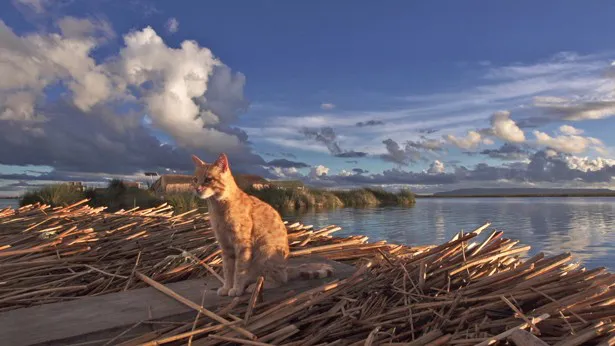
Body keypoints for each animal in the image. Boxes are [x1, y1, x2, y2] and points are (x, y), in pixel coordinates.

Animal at [192, 154, 336, 298]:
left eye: (208, 179)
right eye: (195, 179)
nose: (197, 189)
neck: (218, 208)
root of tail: (287, 269)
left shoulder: (242, 245)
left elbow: (239, 270)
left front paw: (236, 289)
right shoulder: (225, 246)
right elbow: (228, 270)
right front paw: (227, 287)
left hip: (265, 253)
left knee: (278, 281)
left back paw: (253, 287)